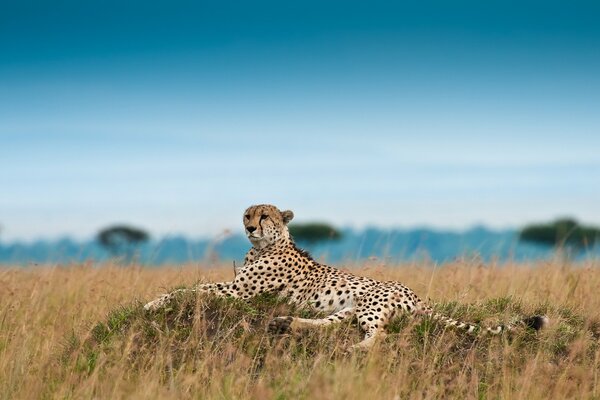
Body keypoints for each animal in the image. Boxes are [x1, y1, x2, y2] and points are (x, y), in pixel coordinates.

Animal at [145, 205, 548, 348]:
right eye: (247, 214)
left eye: (264, 216)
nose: (248, 226)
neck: (263, 246)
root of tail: (419, 297)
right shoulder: (234, 287)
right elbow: (191, 287)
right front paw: (153, 301)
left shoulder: (238, 293)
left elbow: (191, 290)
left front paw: (152, 303)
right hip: (350, 308)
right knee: (331, 324)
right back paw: (286, 323)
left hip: (369, 304)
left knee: (379, 335)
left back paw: (353, 348)